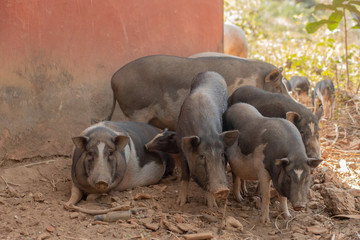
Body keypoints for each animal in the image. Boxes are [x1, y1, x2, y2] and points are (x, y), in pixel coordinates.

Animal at [175, 71, 238, 208]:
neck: (207, 134)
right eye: (202, 156)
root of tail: (211, 72)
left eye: (222, 155)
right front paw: (180, 203)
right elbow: (185, 174)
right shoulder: (181, 147)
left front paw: (212, 206)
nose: (222, 190)